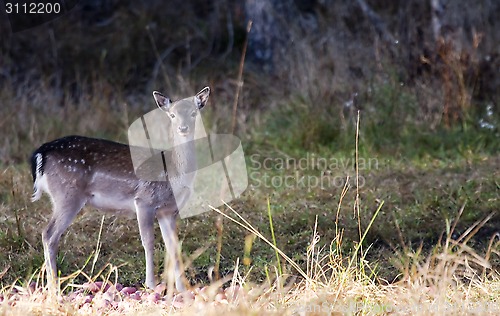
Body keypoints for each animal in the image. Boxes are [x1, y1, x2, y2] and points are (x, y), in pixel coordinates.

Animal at [30, 86, 211, 292]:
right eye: (172, 115)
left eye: (193, 113)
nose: (183, 128)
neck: (173, 173)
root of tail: (41, 154)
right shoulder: (144, 200)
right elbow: (148, 242)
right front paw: (150, 284)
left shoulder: (169, 210)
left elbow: (173, 246)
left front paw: (181, 288)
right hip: (67, 195)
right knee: (48, 234)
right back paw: (54, 286)